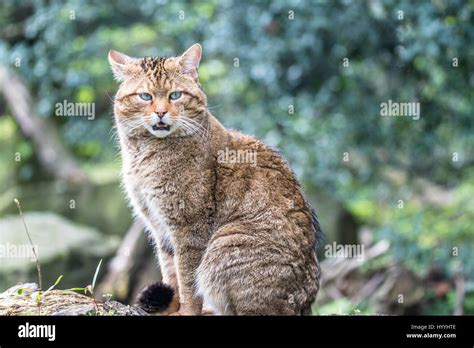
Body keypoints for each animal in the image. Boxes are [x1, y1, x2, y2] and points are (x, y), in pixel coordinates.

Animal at [108, 42, 322, 316]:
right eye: (145, 96)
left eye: (175, 95)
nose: (161, 112)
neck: (145, 153)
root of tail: (305, 307)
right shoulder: (160, 228)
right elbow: (171, 274)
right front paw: (171, 307)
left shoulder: (189, 227)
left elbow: (188, 281)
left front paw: (186, 312)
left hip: (222, 246)